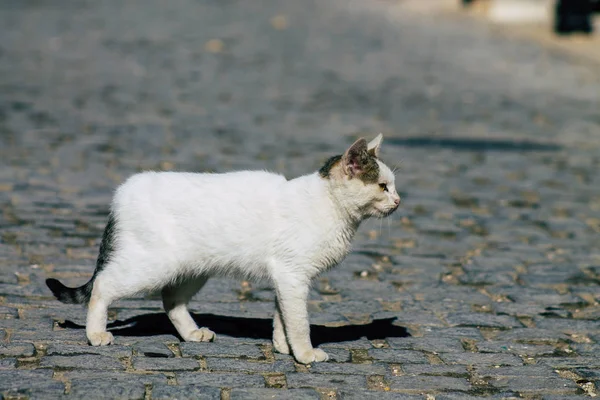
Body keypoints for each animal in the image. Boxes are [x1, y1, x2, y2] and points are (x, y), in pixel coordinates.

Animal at [47, 134, 400, 362]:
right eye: (383, 186)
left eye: (393, 186)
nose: (398, 201)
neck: (328, 205)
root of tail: (122, 191)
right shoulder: (293, 276)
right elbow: (298, 321)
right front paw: (304, 354)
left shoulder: (285, 277)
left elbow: (282, 316)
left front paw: (282, 347)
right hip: (151, 265)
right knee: (103, 285)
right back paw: (96, 335)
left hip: (191, 270)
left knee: (171, 300)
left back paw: (192, 335)